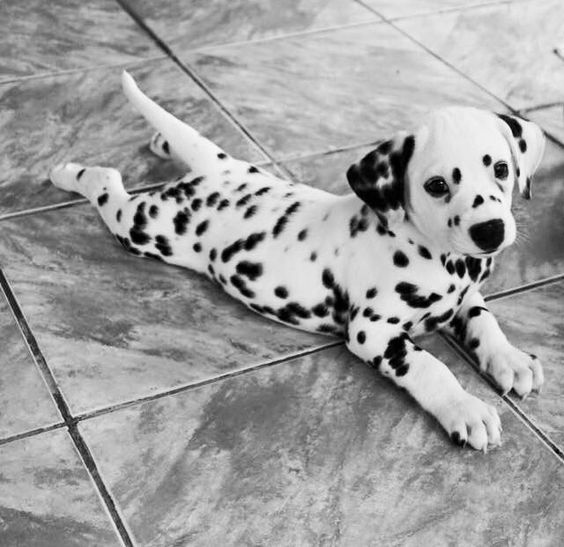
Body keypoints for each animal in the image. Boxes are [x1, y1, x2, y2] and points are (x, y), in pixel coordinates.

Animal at [49, 70, 548, 452]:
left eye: (501, 169)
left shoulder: (466, 294)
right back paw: (68, 172)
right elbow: (431, 366)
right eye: (438, 185)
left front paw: (511, 359)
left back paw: (159, 141)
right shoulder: (374, 332)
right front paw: (466, 408)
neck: (439, 257)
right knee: (107, 183)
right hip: (145, 226)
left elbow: (484, 320)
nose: (491, 231)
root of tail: (218, 170)